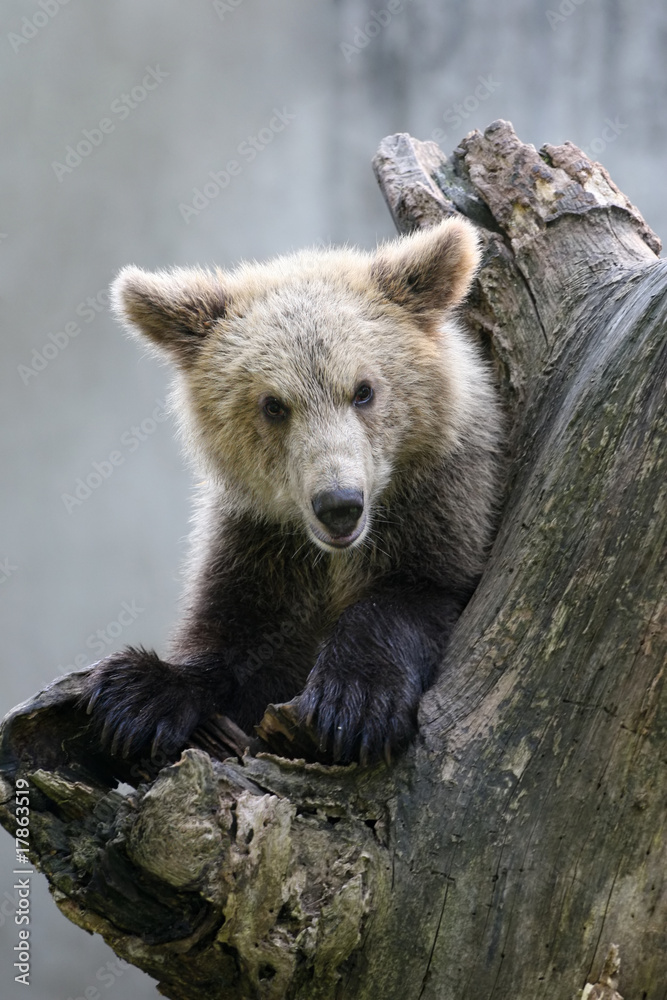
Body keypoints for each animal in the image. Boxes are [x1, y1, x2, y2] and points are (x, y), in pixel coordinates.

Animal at [82, 217, 502, 765]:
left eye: (364, 390)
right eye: (273, 405)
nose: (339, 505)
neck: (330, 558)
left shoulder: (440, 516)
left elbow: (414, 598)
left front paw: (354, 703)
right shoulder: (258, 543)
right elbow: (233, 635)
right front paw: (135, 697)